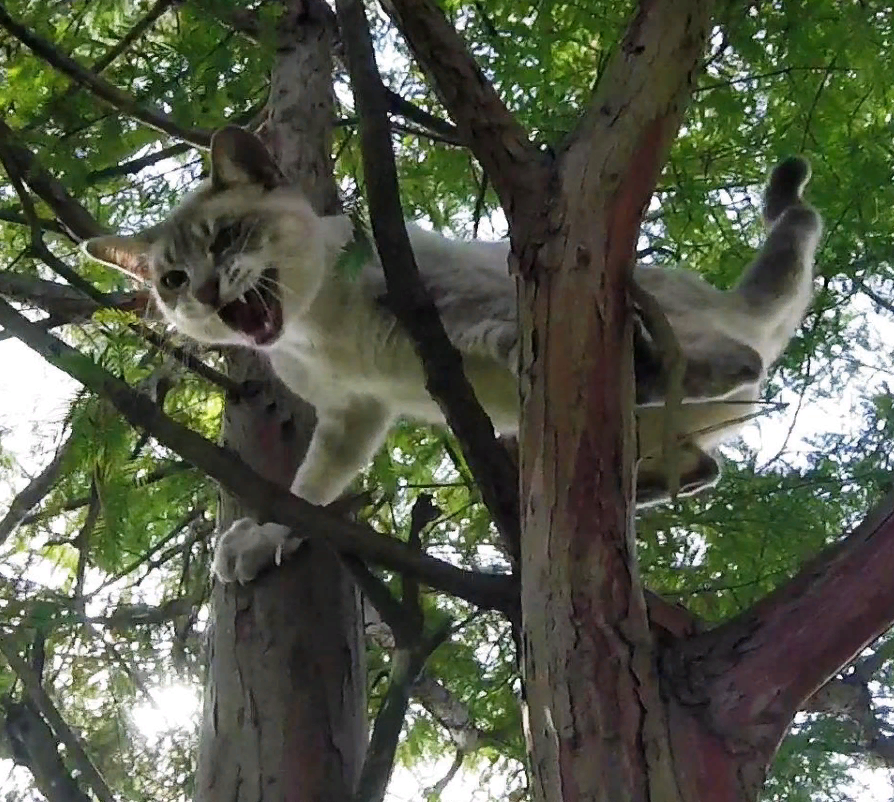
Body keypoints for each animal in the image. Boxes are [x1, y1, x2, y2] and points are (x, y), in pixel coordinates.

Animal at [84, 125, 824, 580]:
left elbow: (501, 336)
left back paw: (666, 368)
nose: (205, 293)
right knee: (700, 462)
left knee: (734, 357)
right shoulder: (354, 413)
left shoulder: (462, 308)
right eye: (172, 280)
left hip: (663, 326)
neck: (318, 327)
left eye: (225, 236)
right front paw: (264, 537)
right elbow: (311, 489)